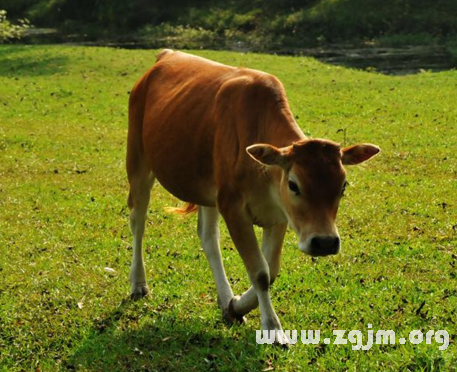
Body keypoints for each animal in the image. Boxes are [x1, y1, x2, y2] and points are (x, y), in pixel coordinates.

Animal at [125, 48, 378, 342]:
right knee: (138, 221)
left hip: (207, 188)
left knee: (208, 237)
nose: (324, 242)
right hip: (138, 160)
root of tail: (165, 55)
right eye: (293, 185)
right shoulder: (232, 206)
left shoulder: (279, 215)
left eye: (343, 186)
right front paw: (273, 328)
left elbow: (272, 270)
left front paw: (235, 306)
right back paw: (138, 283)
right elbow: (259, 272)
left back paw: (224, 299)